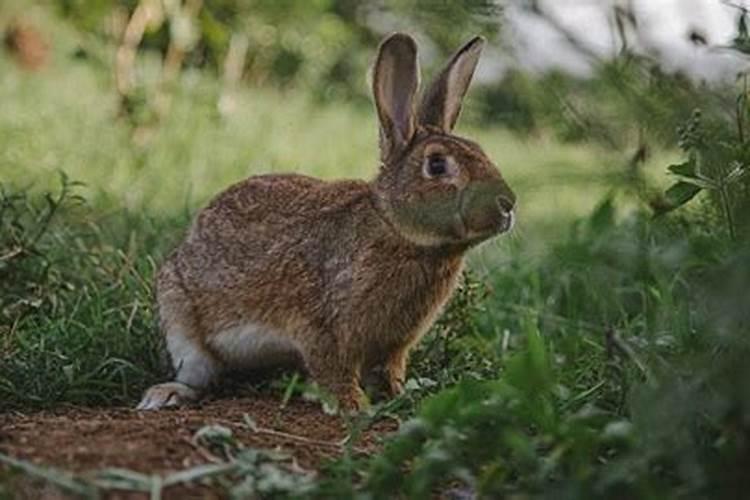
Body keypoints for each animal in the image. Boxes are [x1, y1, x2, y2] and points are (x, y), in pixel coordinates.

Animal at [137, 33, 516, 412]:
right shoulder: (320, 327)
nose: (508, 204)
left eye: (480, 150)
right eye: (437, 165)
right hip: (181, 320)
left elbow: (389, 370)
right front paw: (353, 405)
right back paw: (166, 394)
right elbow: (333, 369)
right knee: (197, 373)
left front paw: (398, 396)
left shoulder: (394, 345)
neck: (394, 229)